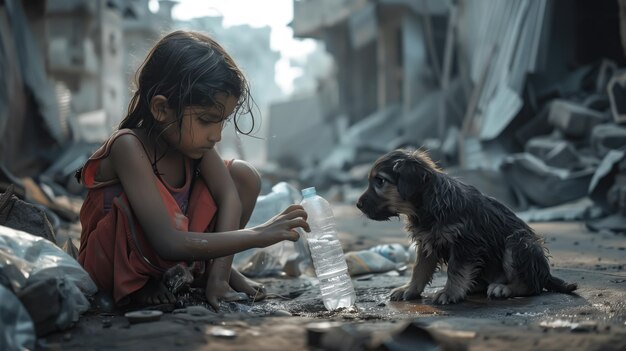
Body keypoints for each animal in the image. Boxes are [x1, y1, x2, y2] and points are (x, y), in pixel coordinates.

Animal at [356, 148, 576, 306]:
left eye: (380, 181)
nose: (357, 205)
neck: (430, 203)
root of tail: (546, 274)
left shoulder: (466, 243)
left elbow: (456, 270)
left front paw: (449, 293)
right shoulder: (427, 243)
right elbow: (419, 269)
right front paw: (409, 290)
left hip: (519, 242)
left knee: (532, 285)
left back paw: (504, 289)